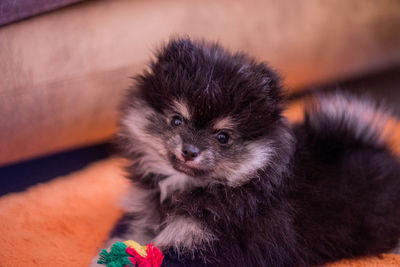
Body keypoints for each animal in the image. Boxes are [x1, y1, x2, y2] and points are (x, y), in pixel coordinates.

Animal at [97, 38, 400, 267]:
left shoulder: (211, 242)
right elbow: (123, 235)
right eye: (177, 120)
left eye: (223, 137)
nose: (190, 151)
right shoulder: (144, 212)